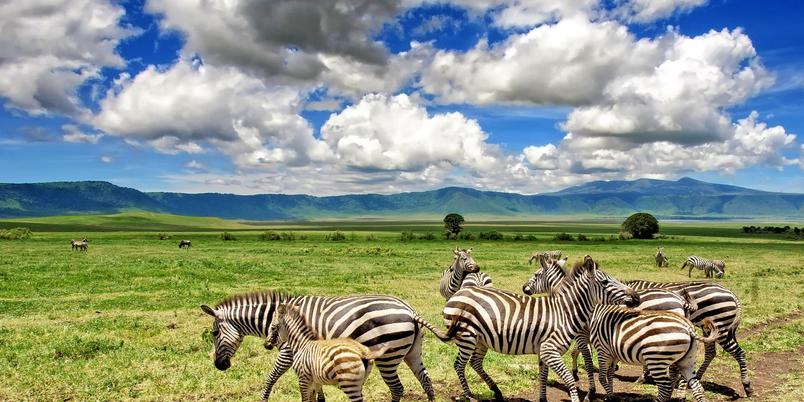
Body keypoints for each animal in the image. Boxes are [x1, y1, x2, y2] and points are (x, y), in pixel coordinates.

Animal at [200, 290, 449, 402]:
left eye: (214, 333)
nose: (219, 366)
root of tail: (410, 310)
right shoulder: (312, 354)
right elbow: (315, 383)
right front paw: (321, 399)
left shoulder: (288, 351)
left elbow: (271, 376)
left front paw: (263, 399)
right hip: (411, 353)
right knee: (426, 381)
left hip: (387, 357)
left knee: (397, 388)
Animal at [442, 256, 640, 402]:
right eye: (605, 282)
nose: (637, 297)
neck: (564, 312)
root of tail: (458, 293)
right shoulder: (549, 349)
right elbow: (569, 379)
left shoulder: (543, 350)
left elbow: (543, 376)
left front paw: (543, 399)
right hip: (467, 337)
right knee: (459, 365)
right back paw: (469, 396)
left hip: (480, 339)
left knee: (475, 363)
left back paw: (496, 391)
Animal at [589, 306, 719, 402]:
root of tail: (688, 327)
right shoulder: (613, 354)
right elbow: (610, 375)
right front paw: (610, 395)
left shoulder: (602, 350)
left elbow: (602, 377)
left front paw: (609, 396)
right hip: (687, 361)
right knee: (697, 387)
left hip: (656, 360)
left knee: (665, 388)